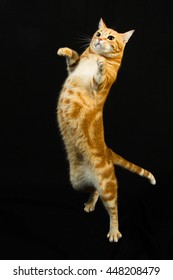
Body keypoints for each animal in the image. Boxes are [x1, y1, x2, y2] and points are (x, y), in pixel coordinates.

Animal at [56, 18, 155, 242]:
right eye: (98, 33)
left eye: (110, 37)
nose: (100, 39)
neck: (95, 56)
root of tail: (109, 152)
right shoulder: (72, 70)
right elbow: (72, 59)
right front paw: (65, 50)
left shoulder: (99, 87)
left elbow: (100, 76)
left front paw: (101, 66)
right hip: (77, 181)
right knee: (94, 191)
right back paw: (90, 203)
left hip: (107, 186)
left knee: (113, 208)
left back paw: (114, 231)